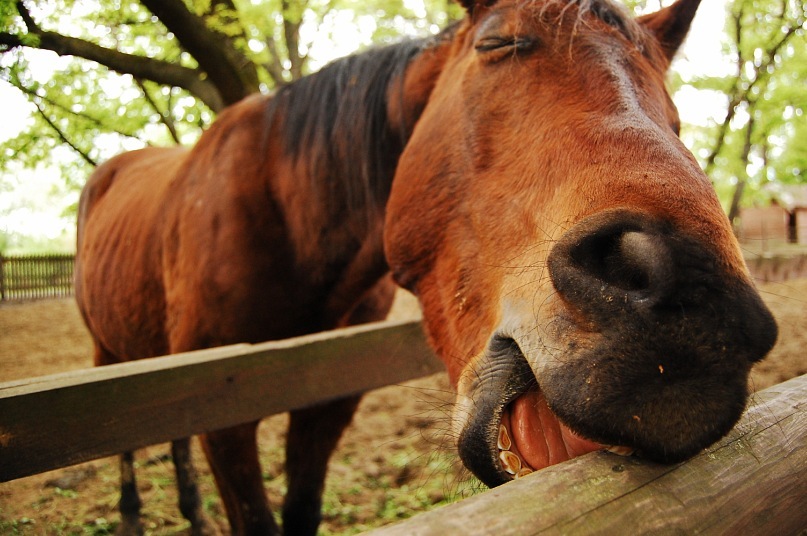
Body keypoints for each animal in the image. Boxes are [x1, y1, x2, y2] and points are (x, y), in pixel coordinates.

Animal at [77, 0, 776, 532]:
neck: (288, 216)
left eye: (675, 113)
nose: (699, 309)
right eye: (497, 42)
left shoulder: (328, 404)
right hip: (115, 354)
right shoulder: (223, 412)